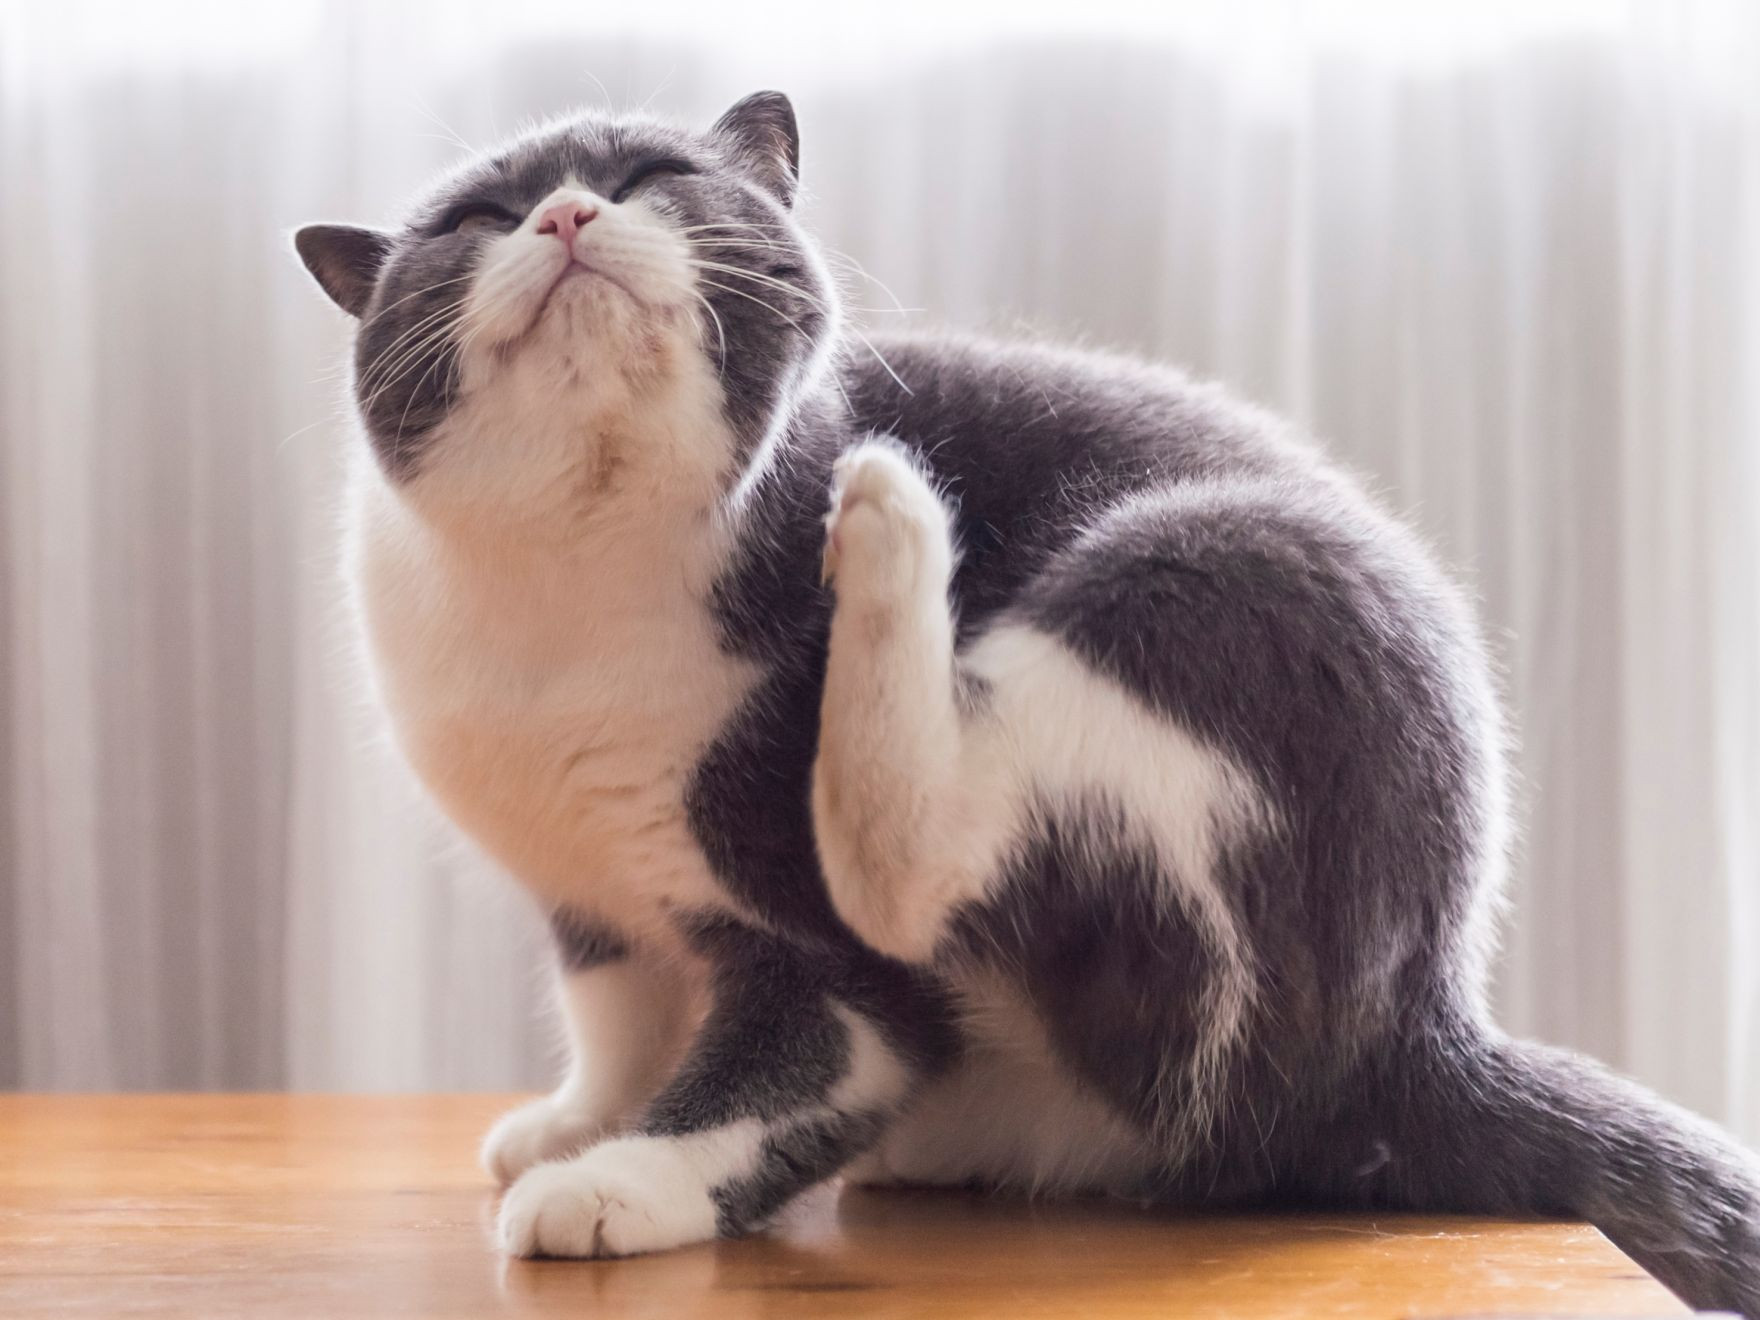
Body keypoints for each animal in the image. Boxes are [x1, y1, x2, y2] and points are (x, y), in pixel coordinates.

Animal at [295, 90, 1760, 1316]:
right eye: (473, 222)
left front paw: (615, 1181)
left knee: (926, 865)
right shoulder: (589, 898)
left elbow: (793, 1056)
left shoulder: (825, 954)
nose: (564, 215)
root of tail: (1422, 1021)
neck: (570, 589)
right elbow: (619, 1014)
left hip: (1212, 566)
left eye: (655, 176)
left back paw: (893, 522)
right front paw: (580, 1117)